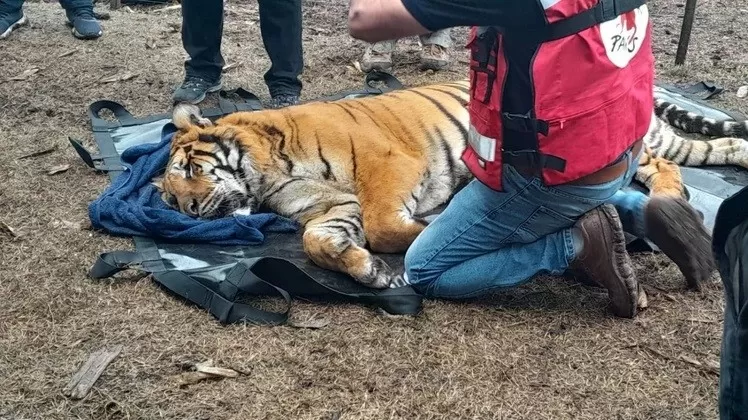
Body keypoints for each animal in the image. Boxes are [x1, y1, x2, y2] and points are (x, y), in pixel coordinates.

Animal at [153, 79, 748, 289]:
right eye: (168, 198)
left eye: (188, 171)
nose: (191, 212)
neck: (267, 176)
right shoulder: (327, 209)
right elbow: (319, 242)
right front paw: (369, 272)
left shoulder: (386, 164)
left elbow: (387, 224)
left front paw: (428, 228)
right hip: (665, 145)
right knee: (714, 151)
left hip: (637, 143)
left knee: (671, 165)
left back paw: (673, 204)